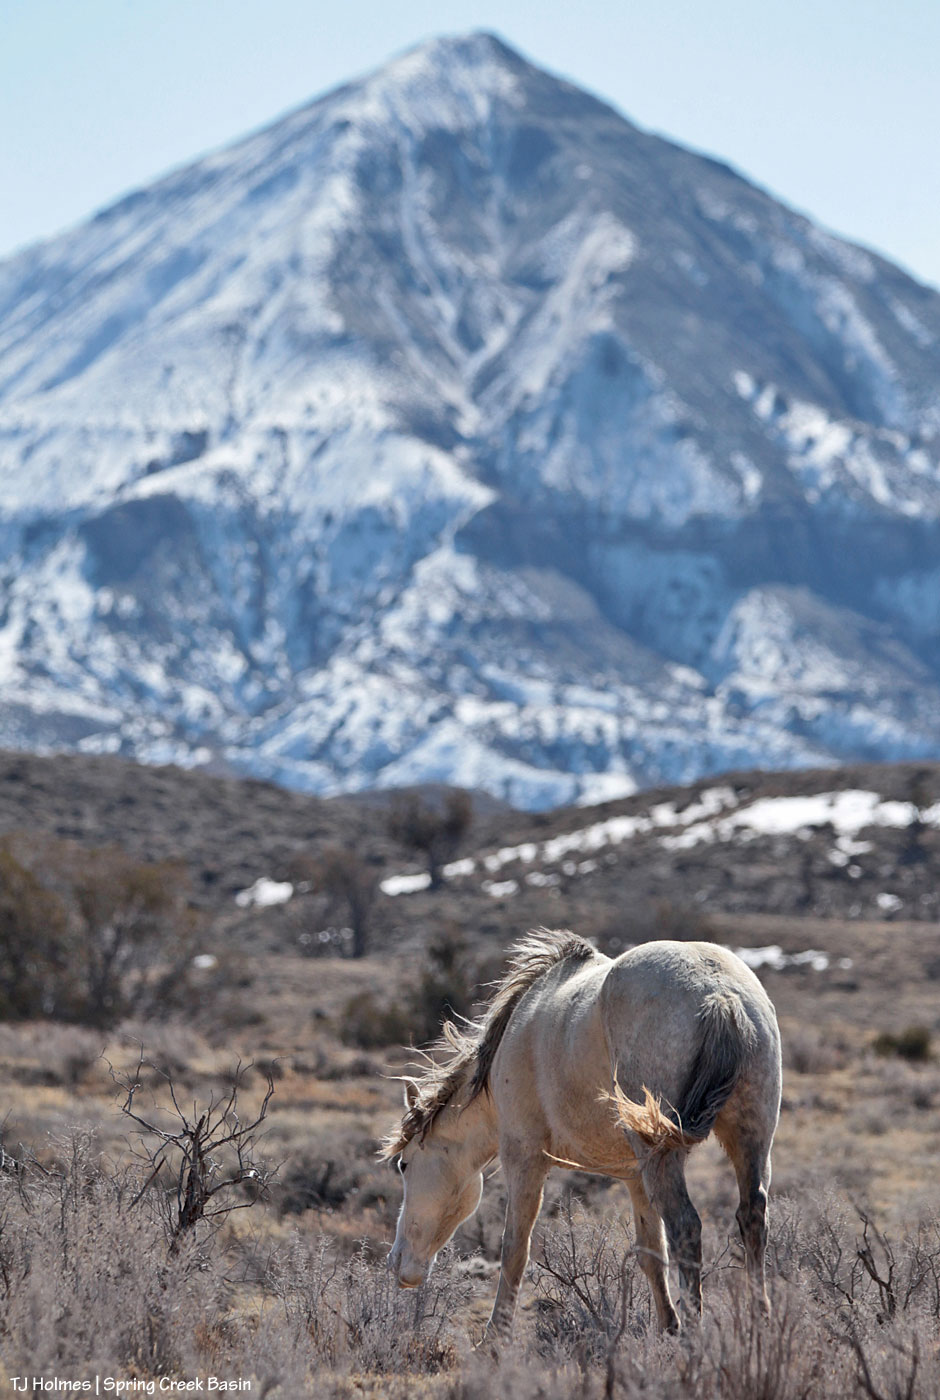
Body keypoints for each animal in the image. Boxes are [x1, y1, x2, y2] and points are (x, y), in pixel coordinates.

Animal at [384, 928, 781, 1340]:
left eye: (403, 1165)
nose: (397, 1263)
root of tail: (721, 995)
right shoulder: (635, 1177)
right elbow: (651, 1253)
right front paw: (667, 1327)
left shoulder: (524, 1157)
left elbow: (514, 1249)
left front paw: (495, 1337)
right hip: (750, 1140)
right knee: (752, 1216)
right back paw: (759, 1324)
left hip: (664, 1154)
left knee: (686, 1226)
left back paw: (696, 1335)